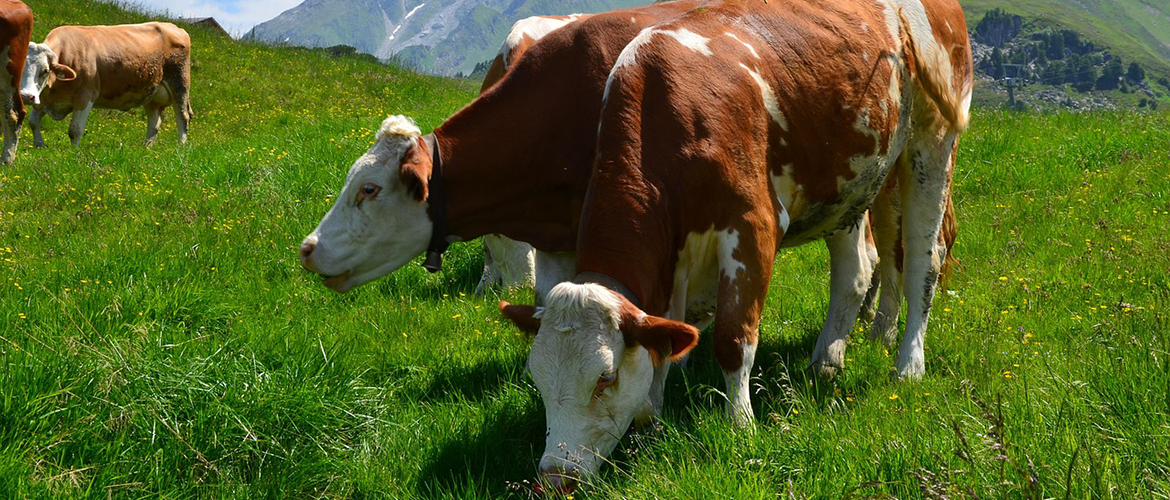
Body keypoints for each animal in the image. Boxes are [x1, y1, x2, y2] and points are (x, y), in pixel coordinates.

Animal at [20, 22, 192, 147]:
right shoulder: (45, 99)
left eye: (45, 70)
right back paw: (146, 148)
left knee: (183, 116)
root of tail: (173, 26)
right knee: (155, 121)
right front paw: (39, 145)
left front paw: (73, 154)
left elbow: (75, 130)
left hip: (180, 83)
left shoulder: (86, 96)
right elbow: (33, 122)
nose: (27, 96)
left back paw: (180, 148)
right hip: (152, 93)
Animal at [498, 0, 972, 489]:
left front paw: (740, 426)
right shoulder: (671, 259)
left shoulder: (752, 225)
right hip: (852, 182)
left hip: (932, 144)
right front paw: (652, 419)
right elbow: (663, 342)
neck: (666, 114)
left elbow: (733, 338)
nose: (556, 476)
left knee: (922, 260)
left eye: (604, 378)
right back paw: (825, 361)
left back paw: (908, 366)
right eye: (537, 379)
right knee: (857, 271)